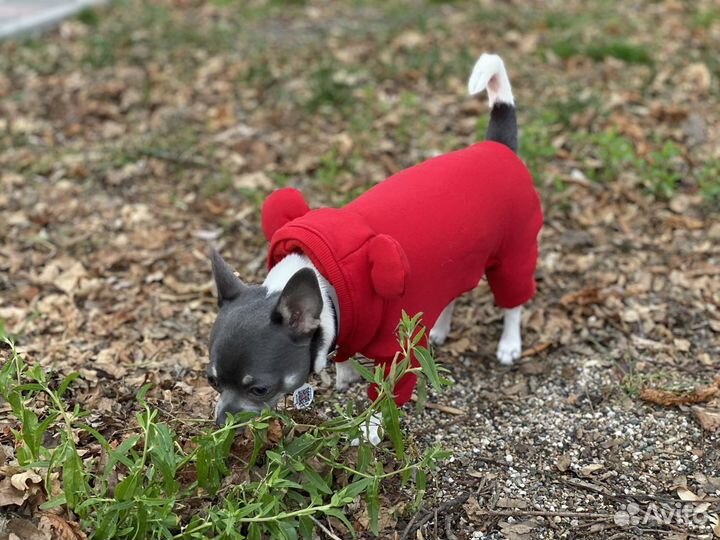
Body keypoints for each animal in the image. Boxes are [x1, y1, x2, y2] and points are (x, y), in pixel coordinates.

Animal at [205, 53, 544, 430]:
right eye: (212, 381)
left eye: (259, 389)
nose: (220, 421)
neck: (327, 284)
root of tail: (498, 147)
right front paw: (345, 373)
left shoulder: (395, 351)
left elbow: (386, 395)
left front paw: (369, 428)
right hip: (464, 261)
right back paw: (440, 328)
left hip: (514, 253)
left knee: (513, 303)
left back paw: (509, 343)